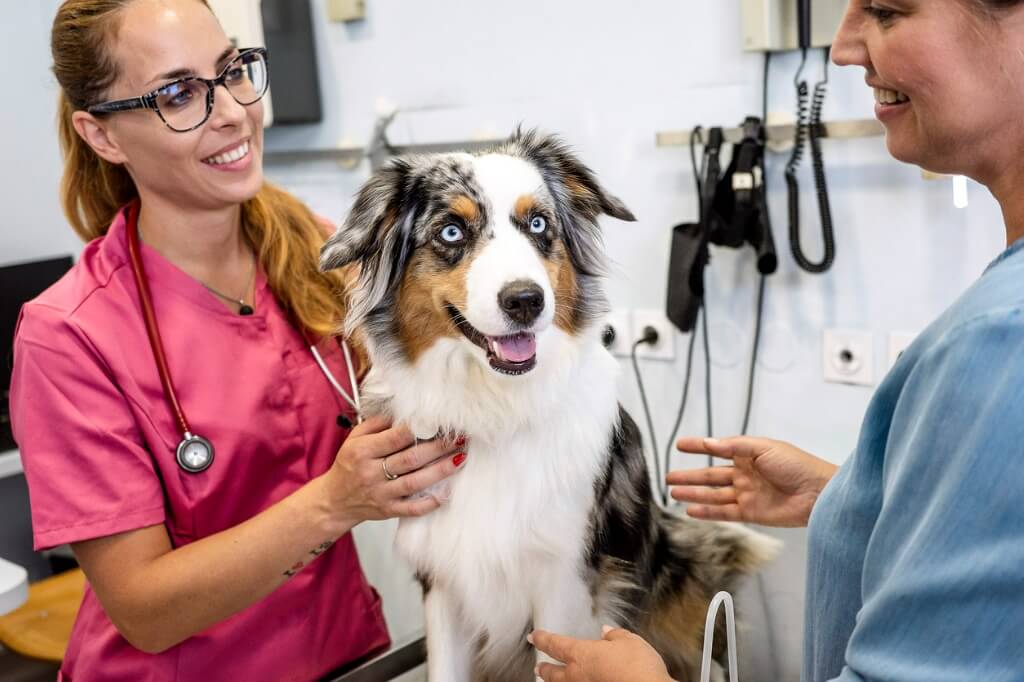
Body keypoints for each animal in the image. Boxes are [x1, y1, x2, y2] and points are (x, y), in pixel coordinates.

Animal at [323, 130, 778, 675]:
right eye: (451, 232)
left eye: (538, 223)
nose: (525, 300)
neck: (496, 408)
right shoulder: (442, 582)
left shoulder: (565, 583)